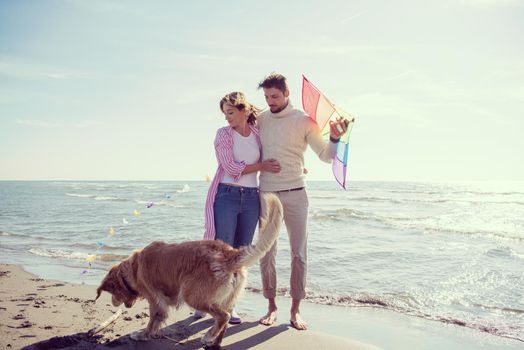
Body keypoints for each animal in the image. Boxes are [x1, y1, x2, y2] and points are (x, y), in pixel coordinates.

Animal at [94, 193, 282, 348]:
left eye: (113, 292)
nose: (113, 304)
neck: (134, 269)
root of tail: (229, 253)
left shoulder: (156, 301)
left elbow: (152, 320)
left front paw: (142, 335)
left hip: (192, 295)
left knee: (223, 317)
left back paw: (208, 336)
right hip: (226, 299)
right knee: (224, 321)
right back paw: (215, 342)